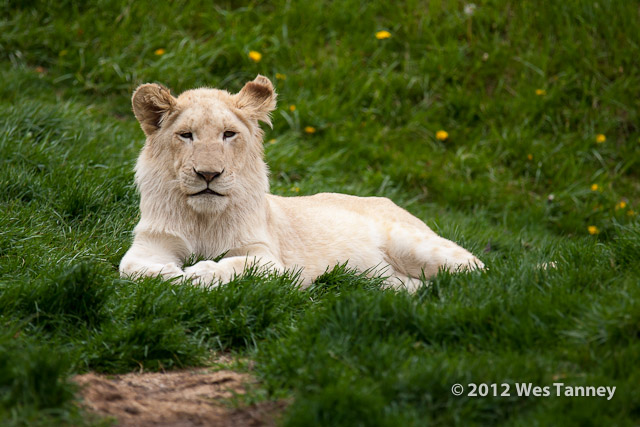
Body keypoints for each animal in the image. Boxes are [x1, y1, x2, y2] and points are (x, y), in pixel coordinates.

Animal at [117, 75, 482, 292]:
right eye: (186, 135)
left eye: (228, 134)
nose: (208, 174)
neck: (203, 219)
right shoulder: (150, 245)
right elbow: (134, 269)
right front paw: (174, 276)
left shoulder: (268, 259)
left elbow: (234, 265)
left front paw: (200, 274)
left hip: (416, 244)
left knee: (477, 269)